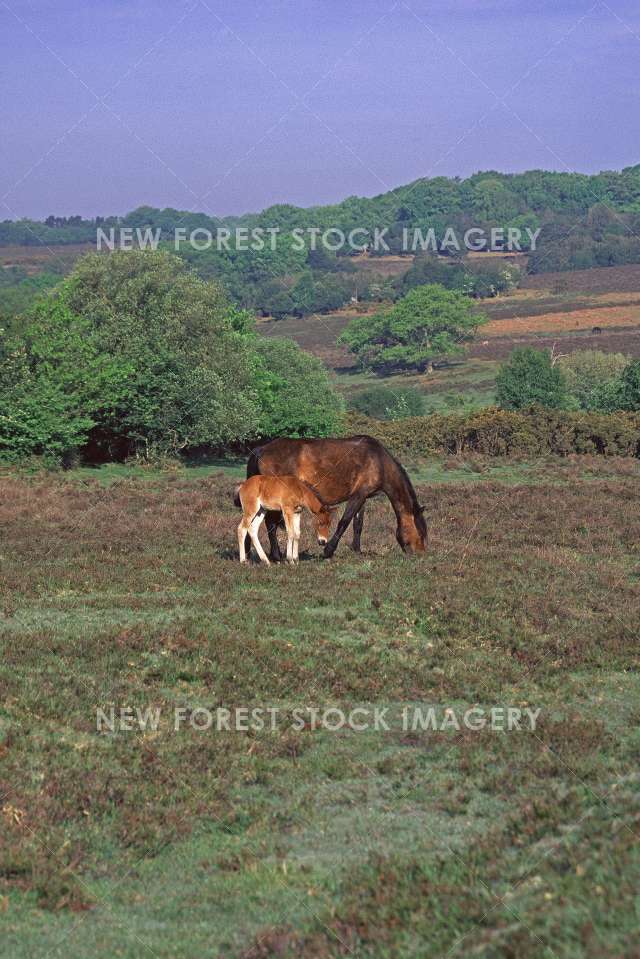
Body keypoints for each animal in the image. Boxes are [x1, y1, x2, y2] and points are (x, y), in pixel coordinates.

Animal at [244, 435, 427, 561]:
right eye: (421, 532)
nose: (420, 555)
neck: (378, 461)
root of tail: (261, 449)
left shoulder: (363, 497)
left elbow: (358, 524)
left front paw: (357, 550)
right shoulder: (357, 496)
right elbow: (344, 521)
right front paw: (328, 551)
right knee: (271, 524)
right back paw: (276, 555)